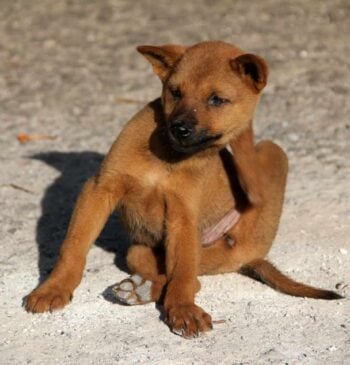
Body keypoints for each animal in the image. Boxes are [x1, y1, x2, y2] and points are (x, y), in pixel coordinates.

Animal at [25, 41, 342, 336]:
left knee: (192, 277)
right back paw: (138, 287)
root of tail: (253, 256)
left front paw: (183, 310)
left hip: (268, 157)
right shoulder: (99, 189)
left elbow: (182, 275)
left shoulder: (182, 215)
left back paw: (141, 289)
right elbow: (73, 247)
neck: (167, 157)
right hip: (139, 251)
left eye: (217, 99)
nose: (179, 129)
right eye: (175, 92)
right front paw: (53, 288)